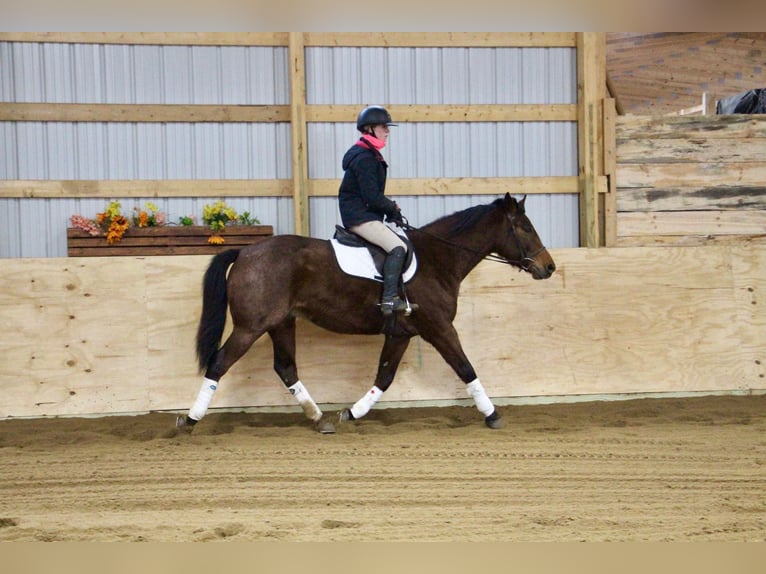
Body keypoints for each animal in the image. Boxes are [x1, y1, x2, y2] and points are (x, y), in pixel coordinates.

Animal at [177, 191, 556, 434]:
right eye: (524, 228)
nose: (549, 267)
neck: (438, 259)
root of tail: (244, 252)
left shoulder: (402, 333)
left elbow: (384, 377)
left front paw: (352, 413)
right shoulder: (438, 328)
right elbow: (466, 368)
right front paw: (493, 414)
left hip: (281, 323)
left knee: (285, 368)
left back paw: (320, 420)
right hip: (250, 326)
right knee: (219, 363)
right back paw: (190, 420)